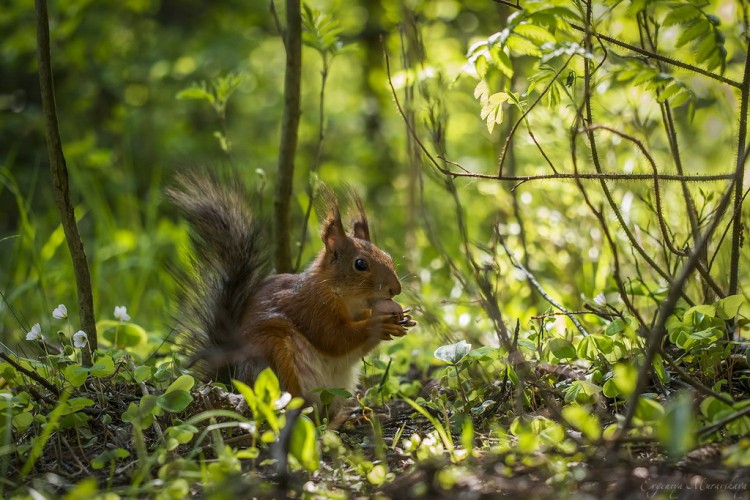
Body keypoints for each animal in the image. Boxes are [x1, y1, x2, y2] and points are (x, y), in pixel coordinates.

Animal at [169, 173, 418, 414]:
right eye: (360, 264)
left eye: (387, 256)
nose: (396, 289)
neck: (349, 301)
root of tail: (233, 382)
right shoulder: (313, 307)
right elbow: (334, 338)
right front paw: (379, 324)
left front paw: (404, 318)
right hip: (273, 356)